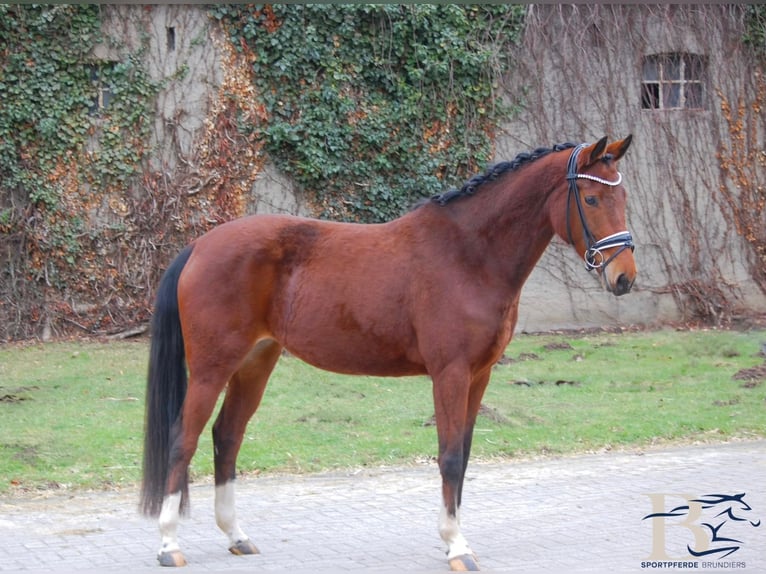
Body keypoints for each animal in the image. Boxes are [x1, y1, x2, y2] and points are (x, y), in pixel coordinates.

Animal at [140, 135, 637, 571]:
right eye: (592, 199)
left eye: (623, 196)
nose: (624, 277)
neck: (470, 254)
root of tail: (199, 246)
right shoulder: (451, 373)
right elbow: (449, 457)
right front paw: (457, 547)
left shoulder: (479, 375)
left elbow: (464, 456)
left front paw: (453, 539)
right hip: (212, 367)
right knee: (183, 439)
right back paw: (168, 544)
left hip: (255, 363)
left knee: (227, 436)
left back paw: (236, 535)